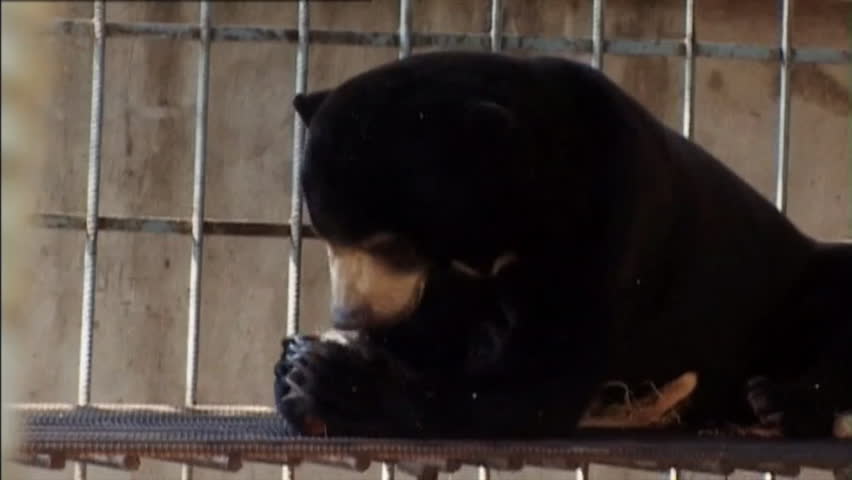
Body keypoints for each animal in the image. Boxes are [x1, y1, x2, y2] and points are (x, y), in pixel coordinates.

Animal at [273, 51, 852, 439]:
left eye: (394, 245)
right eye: (325, 235)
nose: (349, 315)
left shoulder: (610, 215)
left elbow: (542, 377)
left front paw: (327, 378)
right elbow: (440, 329)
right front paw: (297, 363)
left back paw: (778, 401)